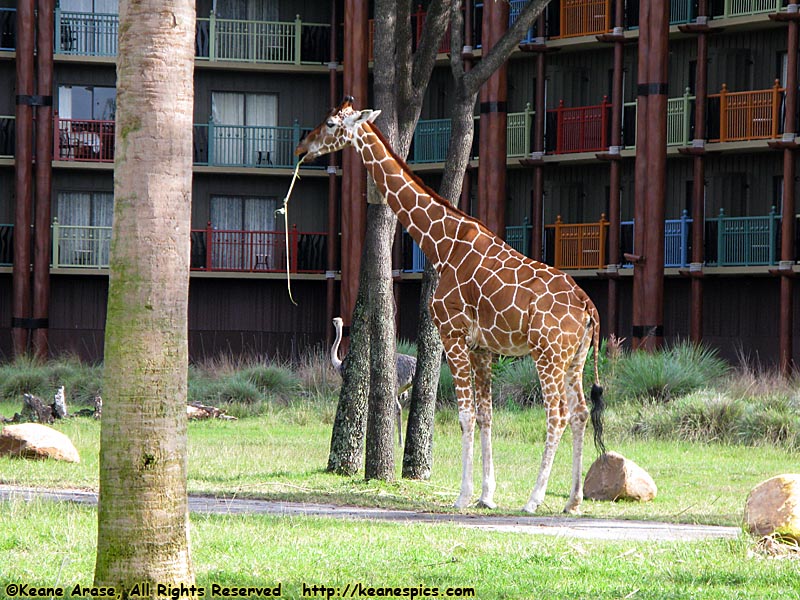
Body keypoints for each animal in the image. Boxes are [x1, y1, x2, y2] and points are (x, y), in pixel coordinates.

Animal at [296, 98, 608, 516]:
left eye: (330, 123)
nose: (303, 148)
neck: (441, 244)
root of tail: (589, 307)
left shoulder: (452, 334)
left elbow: (464, 415)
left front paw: (462, 495)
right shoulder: (481, 348)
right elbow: (486, 416)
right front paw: (486, 495)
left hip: (548, 354)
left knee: (556, 415)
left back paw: (533, 499)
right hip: (574, 358)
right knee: (580, 414)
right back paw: (572, 501)